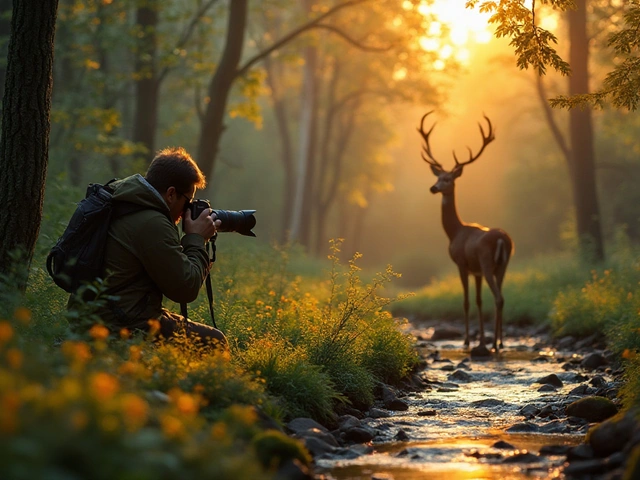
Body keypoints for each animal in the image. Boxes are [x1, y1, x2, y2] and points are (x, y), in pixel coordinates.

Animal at [416, 111, 516, 352]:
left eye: (448, 179)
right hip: (503, 265)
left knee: (498, 298)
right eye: (437, 177)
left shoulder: (462, 264)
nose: (433, 188)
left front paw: (468, 340)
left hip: (488, 262)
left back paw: (495, 343)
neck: (454, 232)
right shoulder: (476, 271)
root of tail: (502, 238)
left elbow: (467, 301)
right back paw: (499, 342)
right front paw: (480, 340)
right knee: (502, 296)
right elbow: (479, 301)